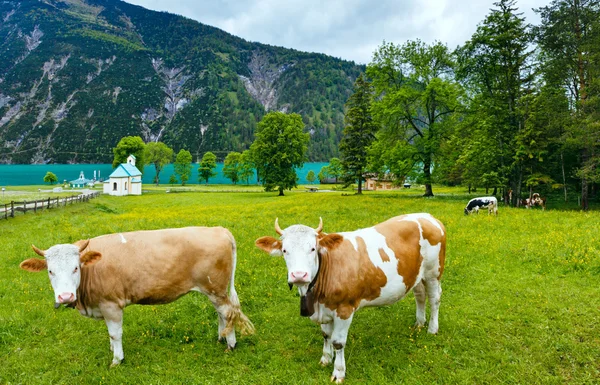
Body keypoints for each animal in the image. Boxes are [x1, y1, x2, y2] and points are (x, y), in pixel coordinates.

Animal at [19, 225, 254, 366]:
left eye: (76, 268)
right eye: (50, 271)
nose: (65, 296)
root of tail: (218, 229)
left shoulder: (111, 304)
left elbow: (115, 334)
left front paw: (117, 359)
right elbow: (110, 335)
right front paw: (112, 350)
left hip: (215, 288)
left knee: (227, 313)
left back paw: (230, 345)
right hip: (217, 290)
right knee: (222, 313)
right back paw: (221, 337)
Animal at [253, 214, 446, 382]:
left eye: (313, 249)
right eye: (285, 250)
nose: (299, 275)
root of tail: (427, 216)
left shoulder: (345, 309)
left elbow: (338, 342)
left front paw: (338, 372)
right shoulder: (324, 309)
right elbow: (326, 335)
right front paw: (325, 359)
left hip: (433, 272)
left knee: (434, 298)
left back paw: (432, 328)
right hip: (416, 275)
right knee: (420, 295)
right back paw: (419, 323)